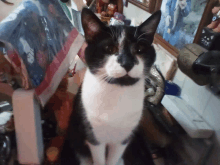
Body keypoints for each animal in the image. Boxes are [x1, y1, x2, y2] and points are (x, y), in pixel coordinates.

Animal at [67, 8, 162, 165]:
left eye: (139, 49)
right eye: (110, 48)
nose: (127, 63)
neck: (118, 91)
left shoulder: (122, 140)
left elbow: (112, 159)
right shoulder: (94, 137)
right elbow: (100, 160)